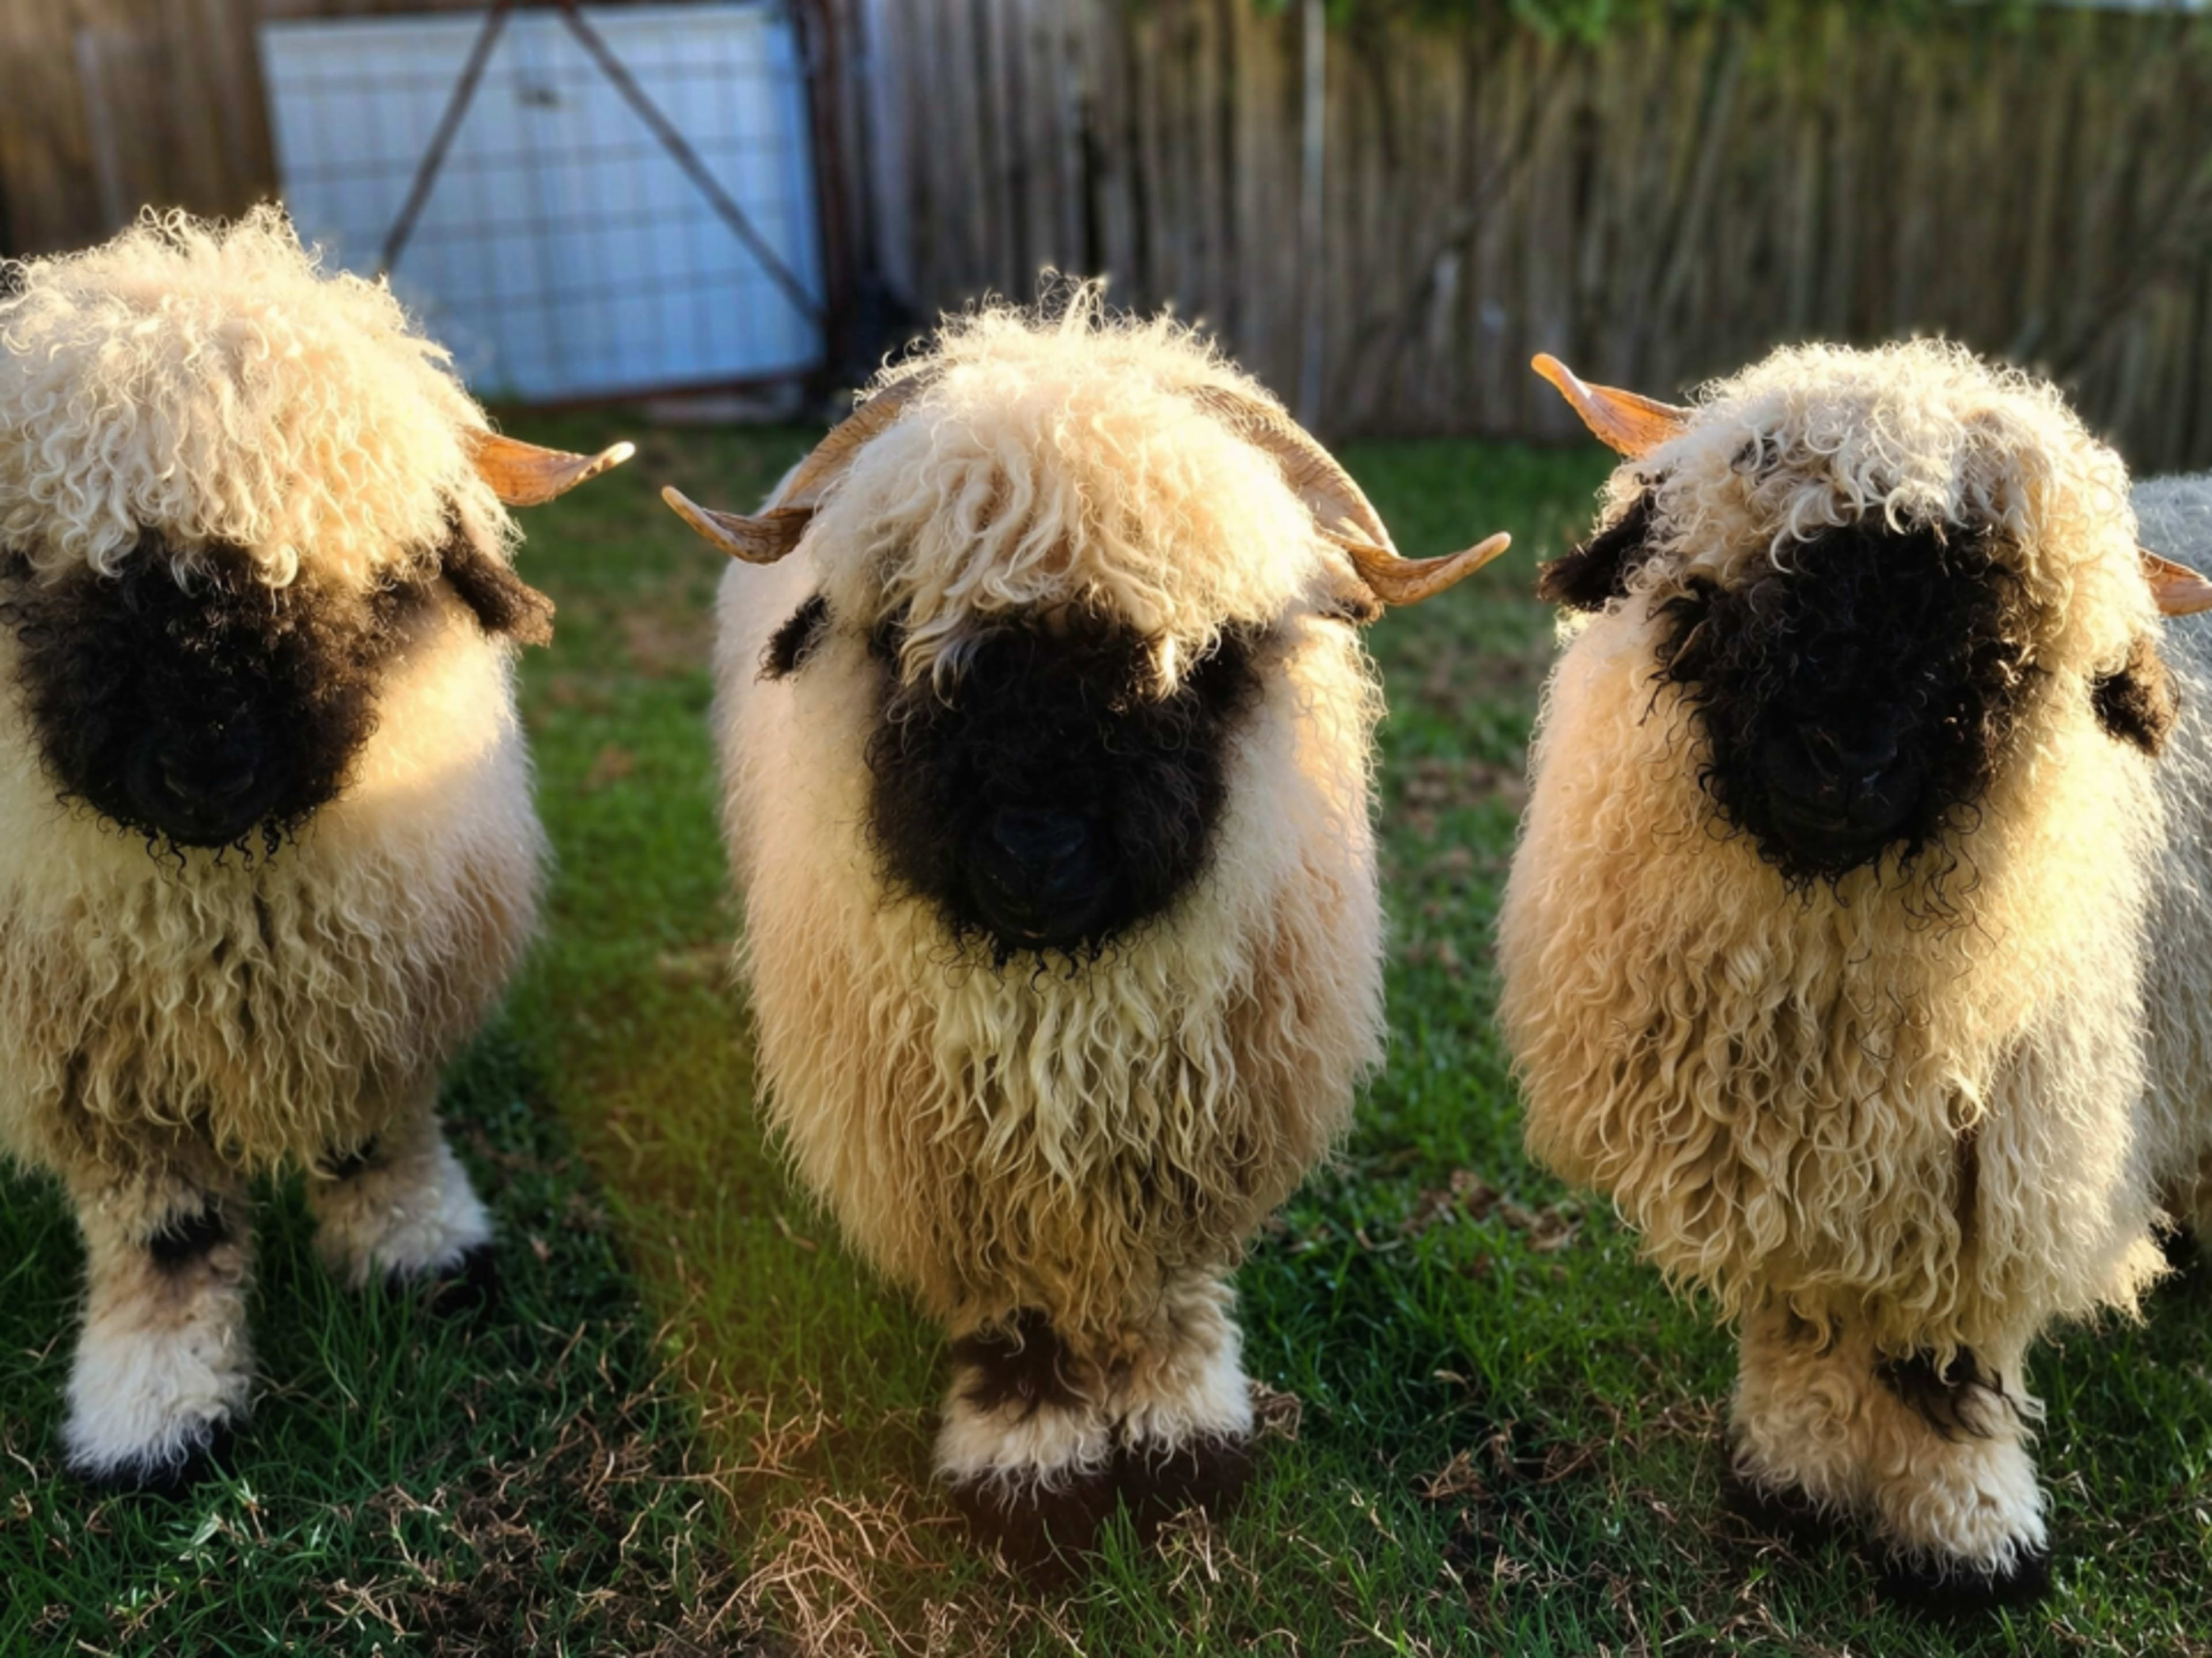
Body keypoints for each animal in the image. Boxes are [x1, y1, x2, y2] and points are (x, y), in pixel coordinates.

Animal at [0, 207, 630, 1490]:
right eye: (42, 569)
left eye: (381, 582)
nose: (205, 764)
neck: (223, 897)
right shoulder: (103, 1072)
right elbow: (168, 1233)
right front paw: (154, 1407)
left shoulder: (371, 985)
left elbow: (372, 1137)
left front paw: (423, 1256)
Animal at [662, 292, 1509, 1565]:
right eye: (907, 640)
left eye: (1203, 657)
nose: (1035, 850)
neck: (1067, 1010)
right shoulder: (956, 1167)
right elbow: (1012, 1320)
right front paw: (1030, 1473)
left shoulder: (1194, 1145)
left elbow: (1169, 1301)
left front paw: (1181, 1444)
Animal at [1494, 340, 2212, 1611]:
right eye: (1746, 582)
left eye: (1997, 651)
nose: (1845, 756)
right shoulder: (1785, 1151)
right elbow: (1804, 1313)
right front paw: (1795, 1476)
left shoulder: (1989, 1159)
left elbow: (1948, 1358)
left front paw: (1966, 1537)